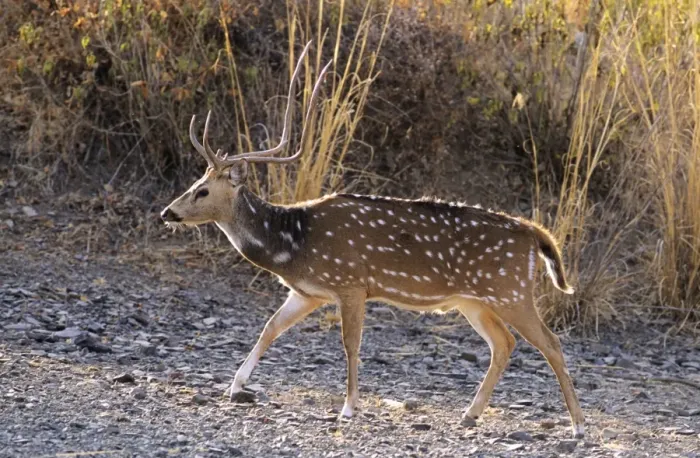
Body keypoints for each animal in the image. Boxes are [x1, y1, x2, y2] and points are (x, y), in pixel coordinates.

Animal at [160, 41, 585, 439]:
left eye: (201, 191)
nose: (168, 212)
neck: (293, 242)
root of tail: (535, 234)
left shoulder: (351, 283)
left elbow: (351, 344)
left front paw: (348, 408)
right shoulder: (308, 292)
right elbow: (270, 328)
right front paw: (235, 386)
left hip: (511, 292)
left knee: (550, 343)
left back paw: (578, 426)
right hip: (475, 301)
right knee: (504, 344)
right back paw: (469, 414)